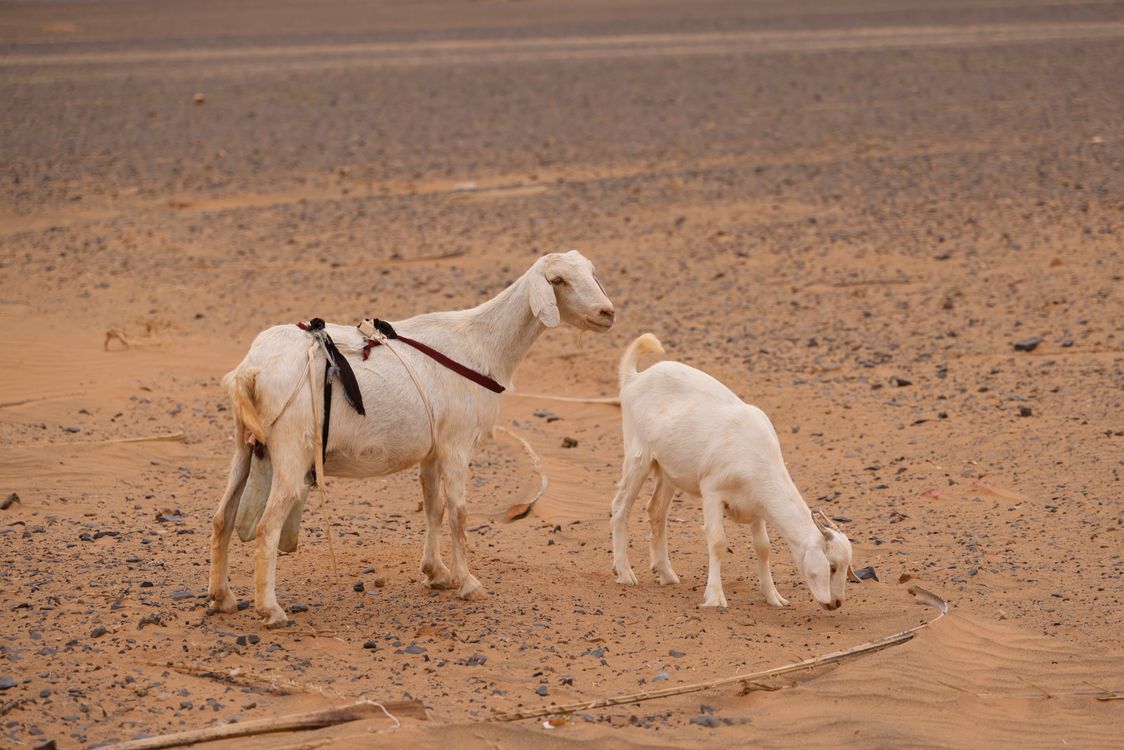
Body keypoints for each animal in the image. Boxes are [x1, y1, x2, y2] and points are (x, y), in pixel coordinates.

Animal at [208, 251, 615, 626]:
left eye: (592, 272)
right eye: (558, 280)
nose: (607, 313)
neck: (479, 345)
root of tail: (252, 369)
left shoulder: (432, 452)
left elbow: (434, 508)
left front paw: (437, 574)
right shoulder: (456, 446)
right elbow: (459, 514)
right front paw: (468, 582)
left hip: (243, 446)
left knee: (222, 517)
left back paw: (222, 597)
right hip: (291, 453)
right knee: (266, 527)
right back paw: (270, 609)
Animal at [609, 334, 854, 610]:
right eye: (831, 567)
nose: (836, 603)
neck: (755, 454)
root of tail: (634, 378)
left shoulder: (757, 506)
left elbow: (763, 547)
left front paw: (773, 596)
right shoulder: (712, 492)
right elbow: (717, 542)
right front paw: (715, 597)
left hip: (668, 470)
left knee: (656, 511)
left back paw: (666, 574)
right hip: (638, 455)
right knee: (621, 506)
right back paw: (625, 573)